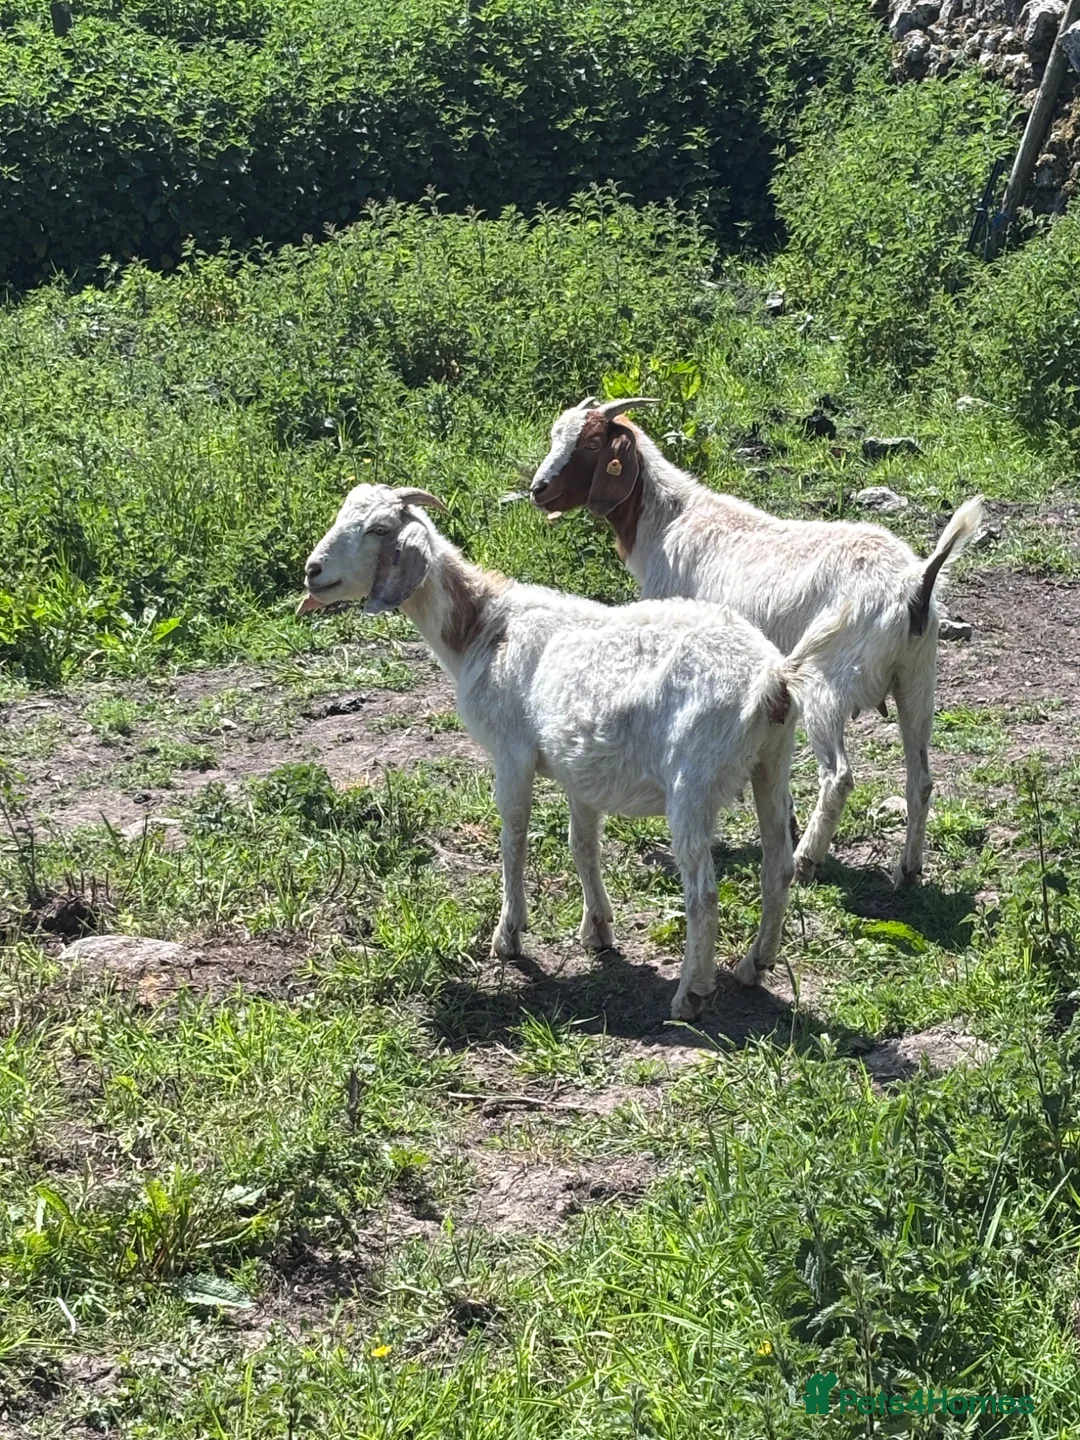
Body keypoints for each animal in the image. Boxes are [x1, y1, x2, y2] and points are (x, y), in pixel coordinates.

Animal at [297, 483, 848, 1019]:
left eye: (379, 529)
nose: (312, 570)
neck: (484, 629)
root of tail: (774, 678)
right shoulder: (580, 770)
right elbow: (582, 845)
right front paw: (597, 928)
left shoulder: (511, 754)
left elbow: (514, 839)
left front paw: (509, 935)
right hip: (771, 763)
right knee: (777, 867)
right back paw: (754, 965)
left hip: (693, 781)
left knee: (703, 892)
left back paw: (690, 994)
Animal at [530, 396, 984, 887]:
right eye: (556, 435)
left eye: (593, 443)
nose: (538, 489)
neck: (668, 523)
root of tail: (914, 582)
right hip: (917, 678)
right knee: (921, 778)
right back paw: (908, 871)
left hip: (826, 678)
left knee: (839, 776)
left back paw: (806, 860)